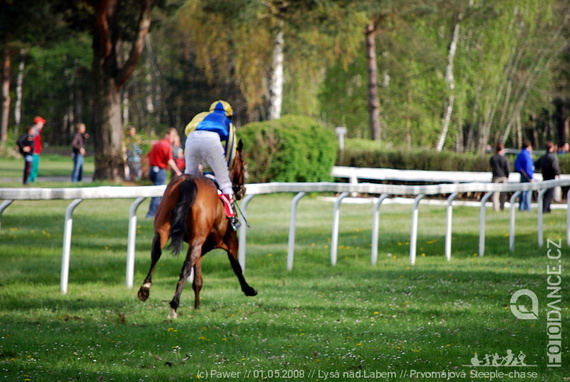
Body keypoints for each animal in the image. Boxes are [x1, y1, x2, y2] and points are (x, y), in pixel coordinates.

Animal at [136, 140, 256, 320]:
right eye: (244, 165)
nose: (243, 190)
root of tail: (188, 182)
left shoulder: (200, 246)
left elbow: (197, 278)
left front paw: (197, 307)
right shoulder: (228, 240)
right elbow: (237, 267)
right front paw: (248, 289)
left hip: (163, 230)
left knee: (156, 253)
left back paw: (145, 289)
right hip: (197, 240)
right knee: (185, 267)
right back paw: (174, 305)